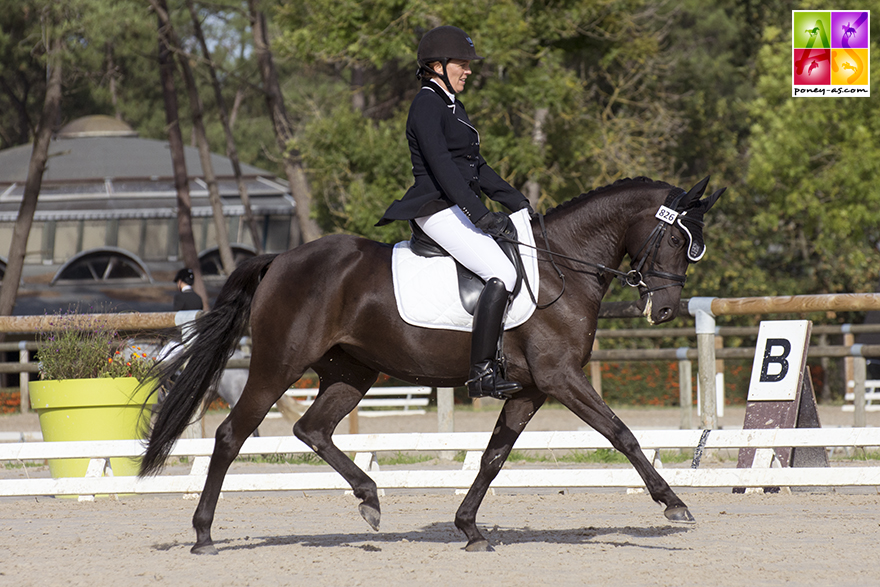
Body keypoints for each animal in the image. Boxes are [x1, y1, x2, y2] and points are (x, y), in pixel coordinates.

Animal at [141, 176, 724, 556]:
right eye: (678, 239)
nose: (664, 309)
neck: (562, 266)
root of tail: (280, 259)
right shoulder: (561, 378)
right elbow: (621, 433)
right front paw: (674, 504)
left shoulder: (530, 390)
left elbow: (492, 457)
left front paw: (470, 529)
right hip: (278, 364)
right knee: (231, 435)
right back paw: (203, 535)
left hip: (353, 373)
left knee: (313, 428)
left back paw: (370, 500)